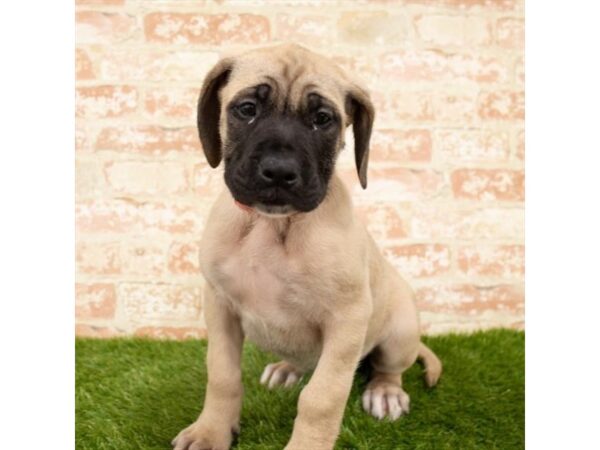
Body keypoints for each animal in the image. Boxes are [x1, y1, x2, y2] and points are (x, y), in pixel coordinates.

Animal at [171, 43, 442, 450]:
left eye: (322, 119)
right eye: (246, 109)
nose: (279, 171)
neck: (273, 225)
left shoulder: (347, 320)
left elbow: (322, 398)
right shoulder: (219, 305)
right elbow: (221, 374)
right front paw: (210, 431)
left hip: (400, 331)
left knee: (388, 367)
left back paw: (385, 392)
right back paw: (288, 369)